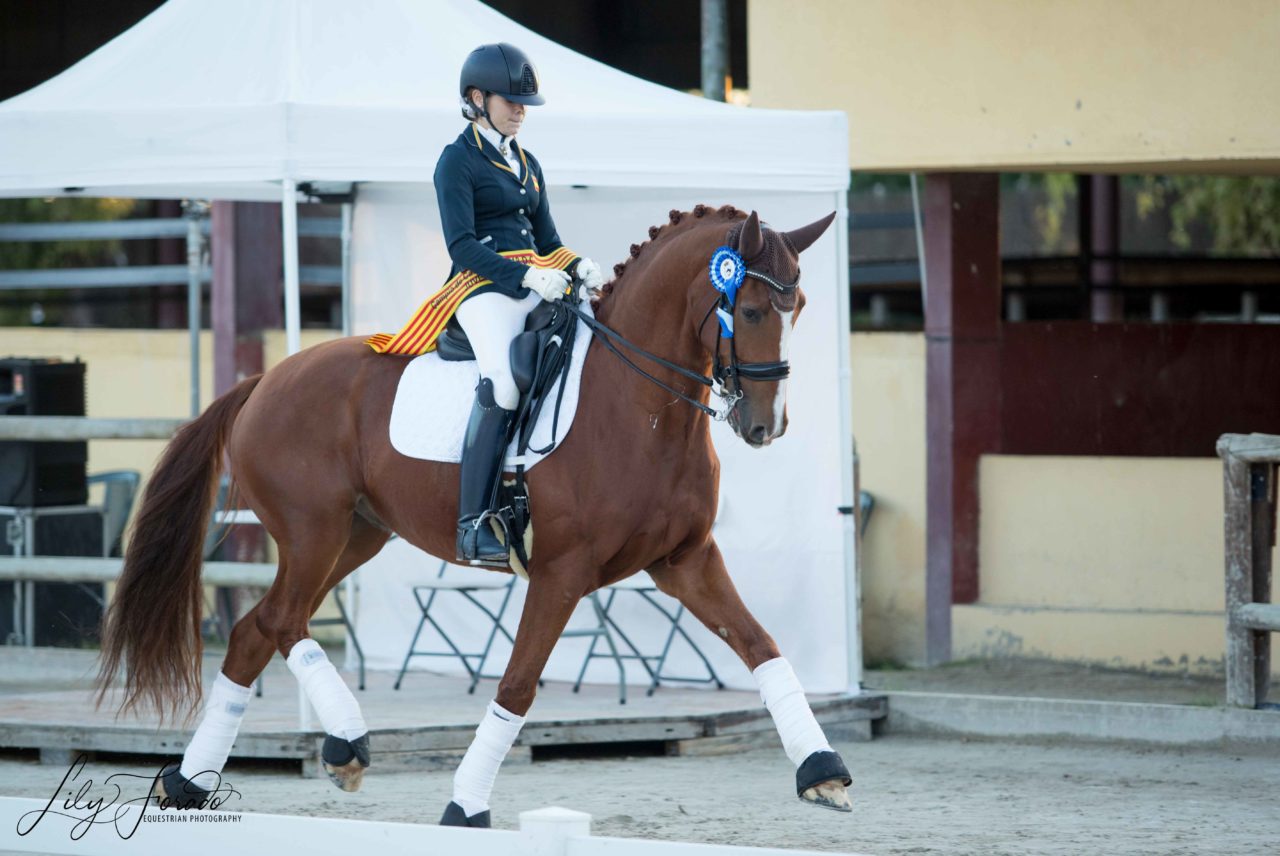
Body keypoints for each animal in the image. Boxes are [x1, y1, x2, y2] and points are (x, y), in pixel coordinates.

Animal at [92, 202, 849, 818]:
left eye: (802, 307)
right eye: (750, 311)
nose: (765, 425)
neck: (642, 409)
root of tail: (265, 380)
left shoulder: (684, 560)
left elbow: (761, 646)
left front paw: (822, 770)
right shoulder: (562, 573)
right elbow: (516, 687)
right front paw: (465, 806)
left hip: (357, 536)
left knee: (257, 631)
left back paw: (193, 782)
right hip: (313, 532)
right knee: (279, 621)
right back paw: (343, 743)